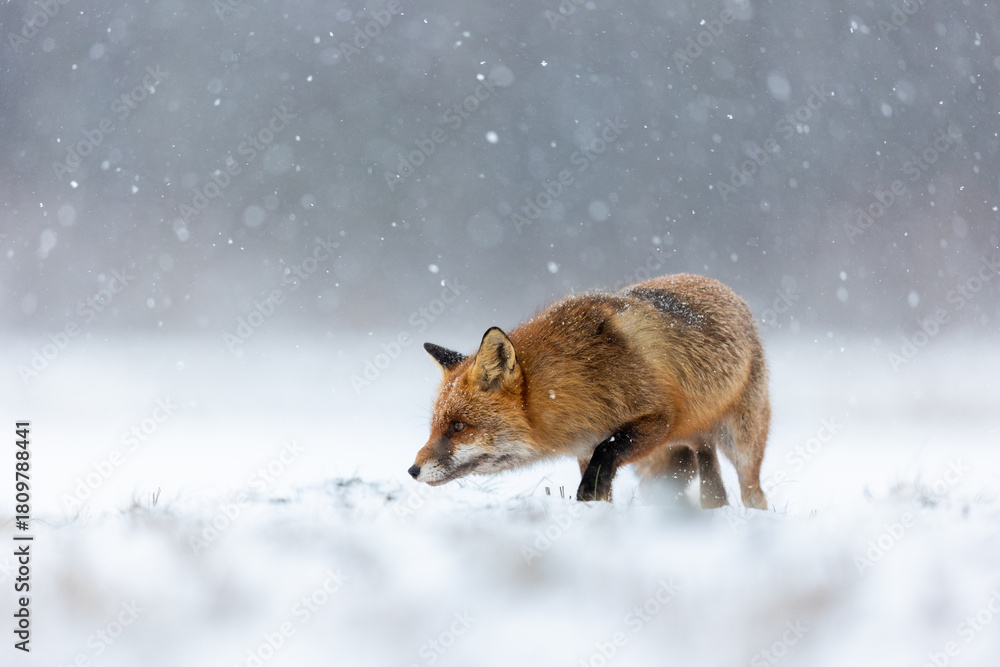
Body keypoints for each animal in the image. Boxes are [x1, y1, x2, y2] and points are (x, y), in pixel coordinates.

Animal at [407, 273, 770, 509]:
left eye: (458, 426)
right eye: (435, 426)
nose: (412, 470)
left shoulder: (658, 419)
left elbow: (605, 457)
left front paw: (585, 502)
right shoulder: (585, 450)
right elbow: (600, 485)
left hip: (739, 443)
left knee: (753, 493)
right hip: (677, 459)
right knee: (714, 496)